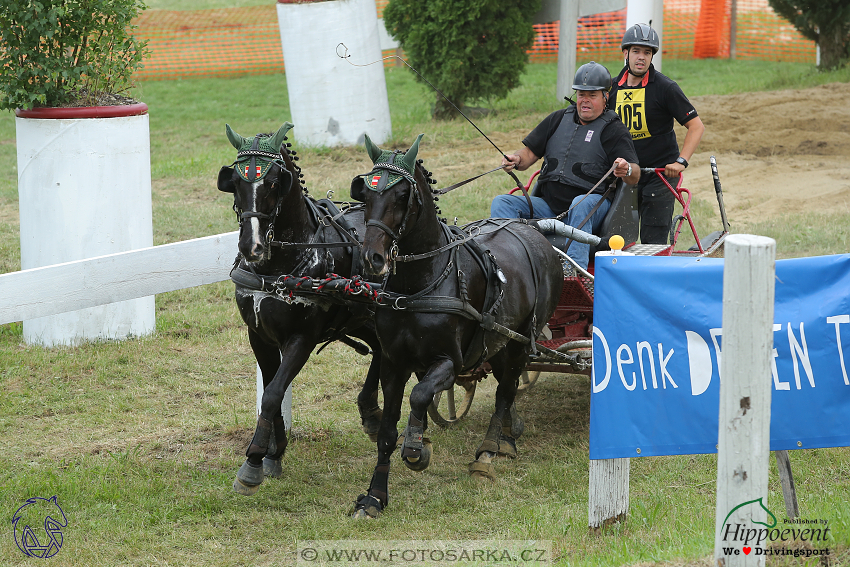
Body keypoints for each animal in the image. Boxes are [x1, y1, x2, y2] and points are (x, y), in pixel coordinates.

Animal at [215, 123, 380, 496]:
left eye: (274, 183)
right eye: (235, 182)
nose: (250, 246)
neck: (278, 266)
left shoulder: (301, 338)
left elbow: (273, 392)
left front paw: (252, 462)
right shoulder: (258, 334)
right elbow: (270, 389)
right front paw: (273, 455)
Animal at [346, 134, 564, 520]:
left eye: (401, 196)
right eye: (366, 195)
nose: (372, 258)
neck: (418, 285)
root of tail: (533, 230)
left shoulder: (449, 361)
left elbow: (420, 395)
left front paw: (416, 446)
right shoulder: (392, 363)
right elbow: (387, 431)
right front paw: (374, 496)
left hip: (521, 342)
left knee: (505, 392)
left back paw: (489, 451)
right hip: (502, 343)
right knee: (507, 390)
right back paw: (509, 436)